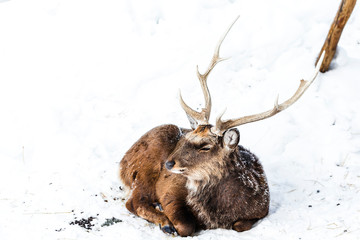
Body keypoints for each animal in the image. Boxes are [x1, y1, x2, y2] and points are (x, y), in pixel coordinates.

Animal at [119, 17, 324, 237]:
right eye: (186, 138)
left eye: (205, 146)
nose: (168, 163)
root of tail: (123, 162)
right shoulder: (170, 189)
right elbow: (185, 226)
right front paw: (170, 222)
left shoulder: (262, 209)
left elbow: (240, 226)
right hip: (143, 170)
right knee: (133, 202)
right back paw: (164, 222)